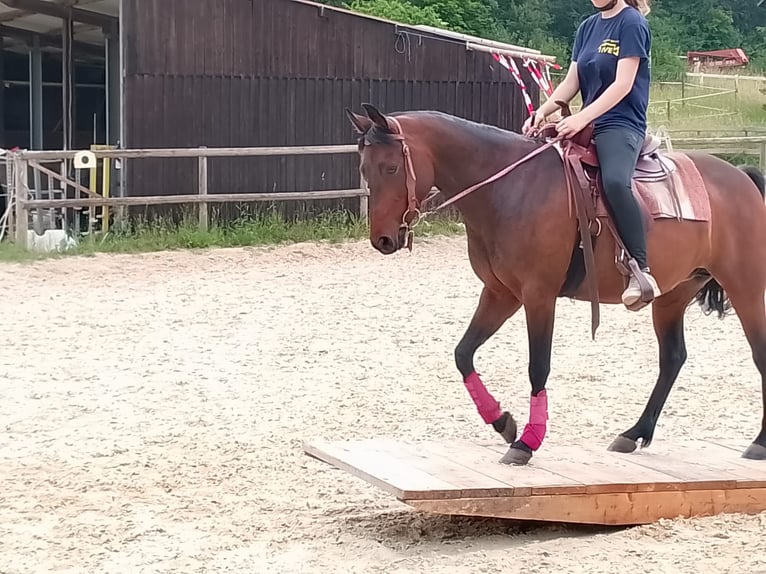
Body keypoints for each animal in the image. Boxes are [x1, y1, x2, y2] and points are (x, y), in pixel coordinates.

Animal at [345, 102, 766, 465]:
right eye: (364, 169)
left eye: (390, 168)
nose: (382, 240)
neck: (510, 188)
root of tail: (741, 176)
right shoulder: (500, 293)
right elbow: (463, 353)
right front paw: (502, 422)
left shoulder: (538, 296)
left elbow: (538, 366)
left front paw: (526, 442)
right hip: (673, 296)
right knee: (672, 358)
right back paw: (633, 433)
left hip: (745, 286)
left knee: (757, 354)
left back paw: (758, 443)